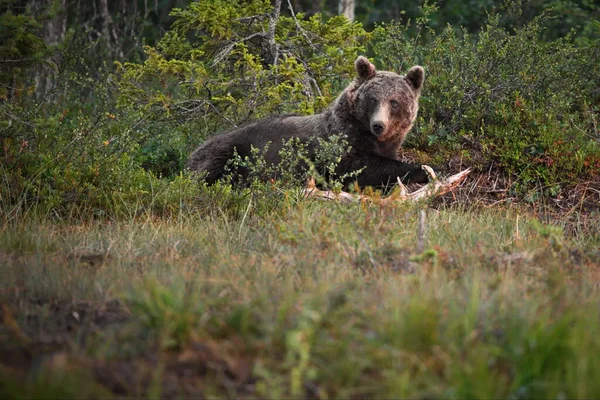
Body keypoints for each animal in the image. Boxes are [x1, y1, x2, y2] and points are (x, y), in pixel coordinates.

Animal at [185, 56, 428, 189]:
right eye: (373, 99)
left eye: (394, 101)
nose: (378, 125)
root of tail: (192, 153)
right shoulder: (337, 147)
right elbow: (362, 169)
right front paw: (422, 170)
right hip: (231, 151)